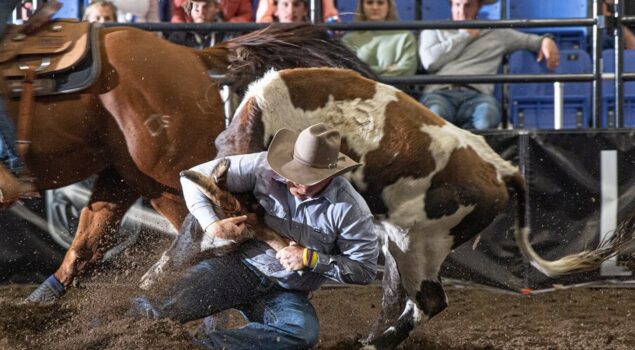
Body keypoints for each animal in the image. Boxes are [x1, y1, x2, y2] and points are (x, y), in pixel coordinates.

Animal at [215, 67, 635, 348]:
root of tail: (500, 170)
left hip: (418, 243)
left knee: (428, 300)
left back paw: (376, 343)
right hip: (402, 241)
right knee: (396, 297)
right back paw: (370, 338)